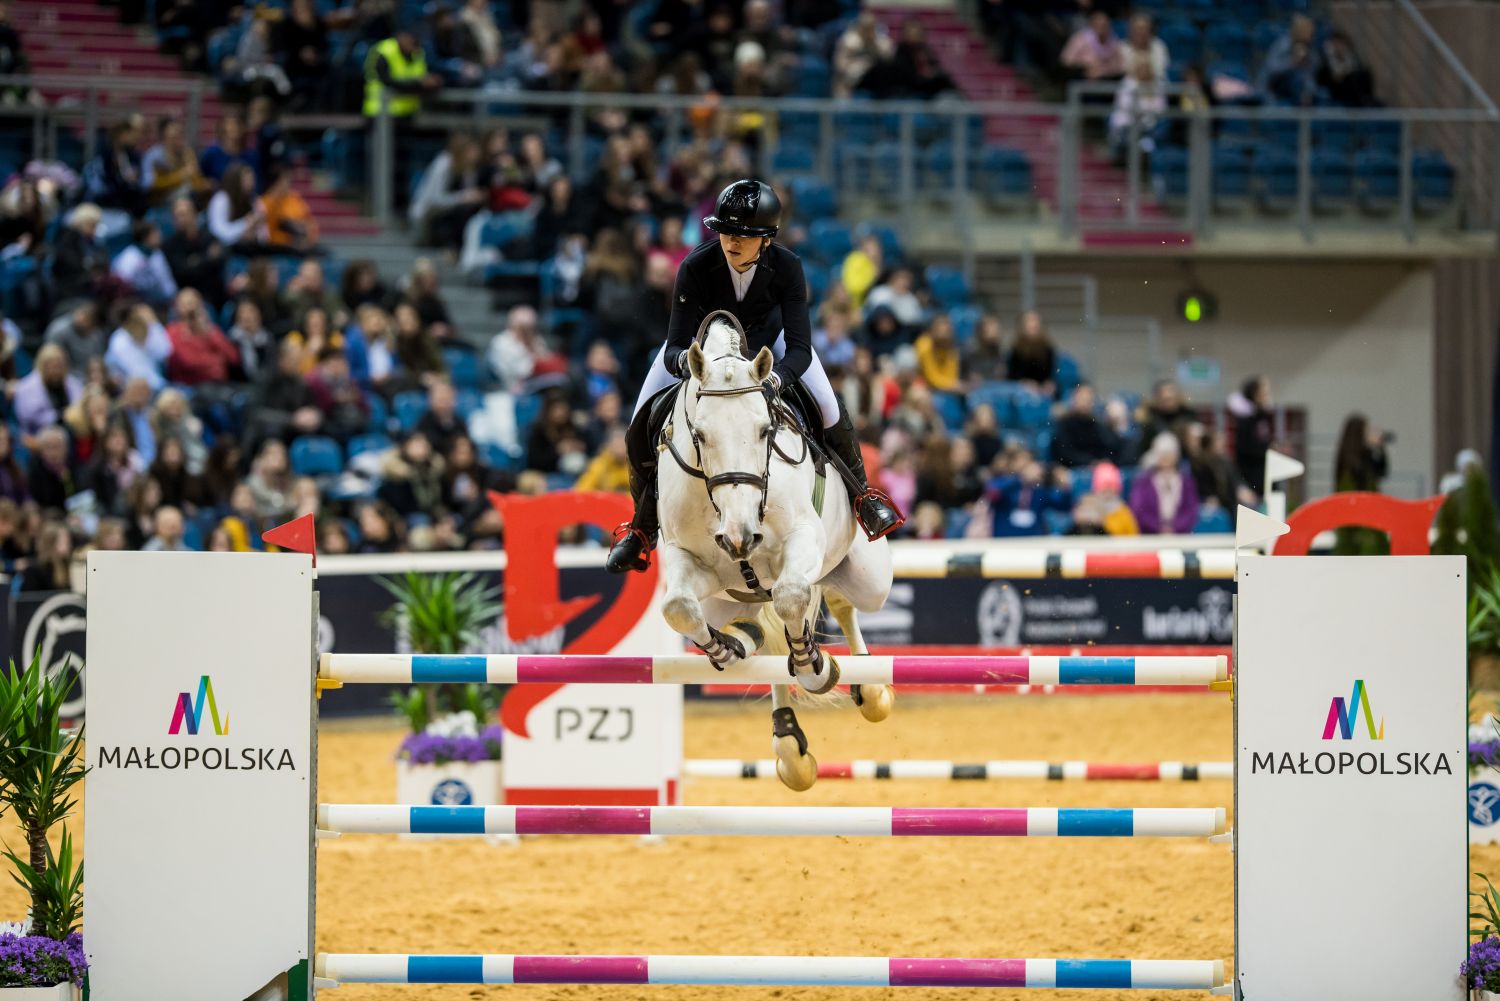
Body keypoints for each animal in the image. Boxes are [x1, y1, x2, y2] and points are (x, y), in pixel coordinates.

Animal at [654, 310, 888, 792]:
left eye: (765, 430)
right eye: (700, 434)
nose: (740, 535)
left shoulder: (802, 539)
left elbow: (792, 597)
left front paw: (816, 667)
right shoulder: (692, 560)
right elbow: (678, 607)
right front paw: (722, 650)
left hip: (871, 577)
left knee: (840, 600)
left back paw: (871, 689)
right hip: (725, 600)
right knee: (756, 628)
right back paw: (785, 735)